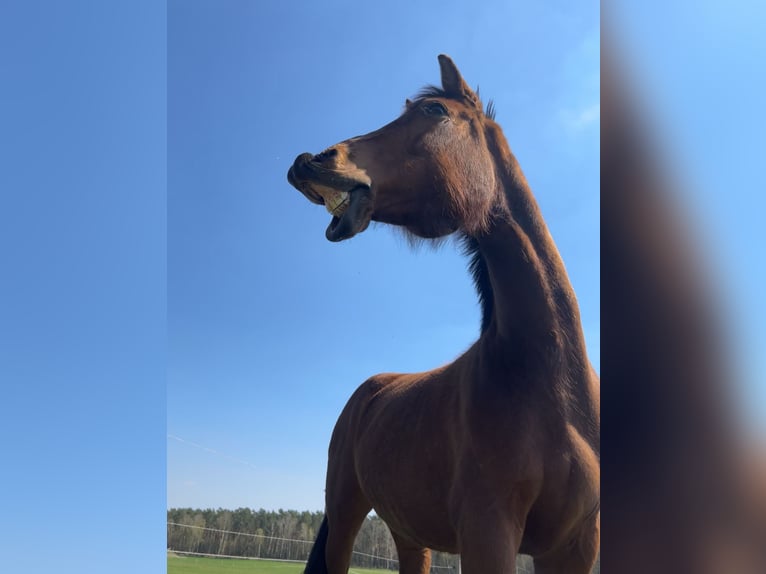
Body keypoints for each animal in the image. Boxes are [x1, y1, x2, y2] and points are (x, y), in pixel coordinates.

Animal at [286, 55, 600, 574]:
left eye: (434, 111)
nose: (310, 161)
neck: (550, 385)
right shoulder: (488, 533)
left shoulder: (573, 545)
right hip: (345, 515)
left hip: (411, 536)